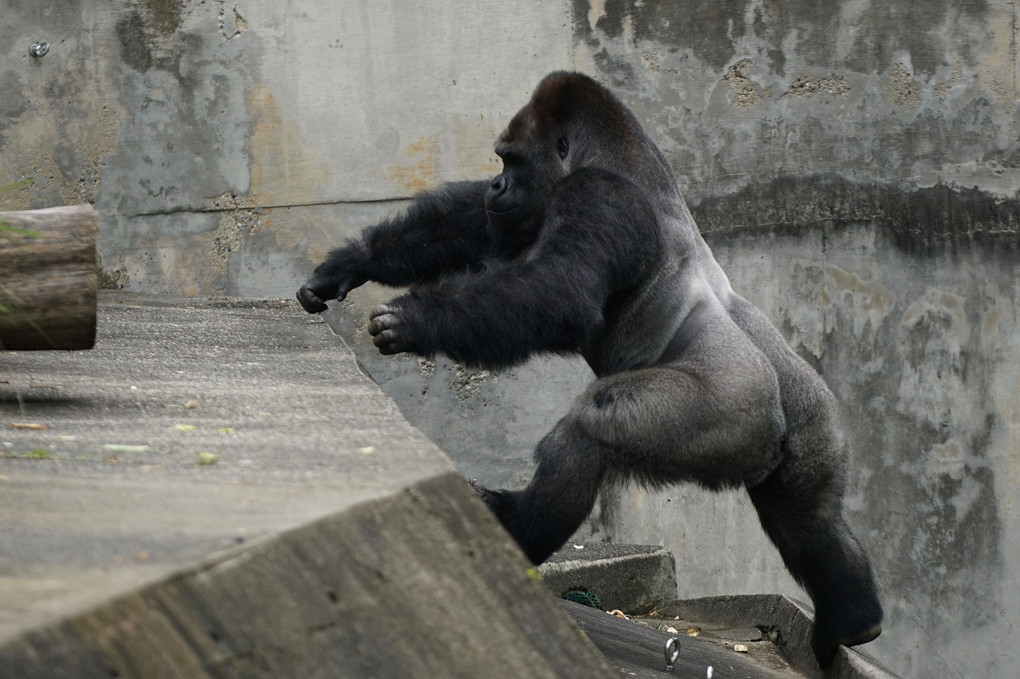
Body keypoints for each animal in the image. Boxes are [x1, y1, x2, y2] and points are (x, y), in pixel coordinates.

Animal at [297, 71, 881, 664]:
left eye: (512, 161)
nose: (496, 187)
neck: (621, 156)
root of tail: (780, 414)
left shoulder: (598, 196)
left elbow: (557, 291)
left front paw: (418, 320)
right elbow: (474, 228)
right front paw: (353, 262)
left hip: (729, 411)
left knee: (587, 433)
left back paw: (518, 529)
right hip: (816, 422)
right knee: (809, 522)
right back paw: (852, 620)